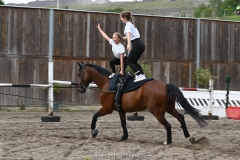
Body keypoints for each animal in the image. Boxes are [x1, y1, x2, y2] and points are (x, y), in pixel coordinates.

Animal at [77, 62, 208, 144]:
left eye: (79, 74)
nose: (80, 89)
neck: (107, 82)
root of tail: (166, 85)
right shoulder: (120, 110)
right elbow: (123, 124)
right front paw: (124, 137)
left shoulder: (106, 109)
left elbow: (94, 116)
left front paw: (93, 132)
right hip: (169, 109)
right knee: (180, 118)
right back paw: (188, 137)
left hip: (158, 113)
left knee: (168, 125)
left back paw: (168, 141)